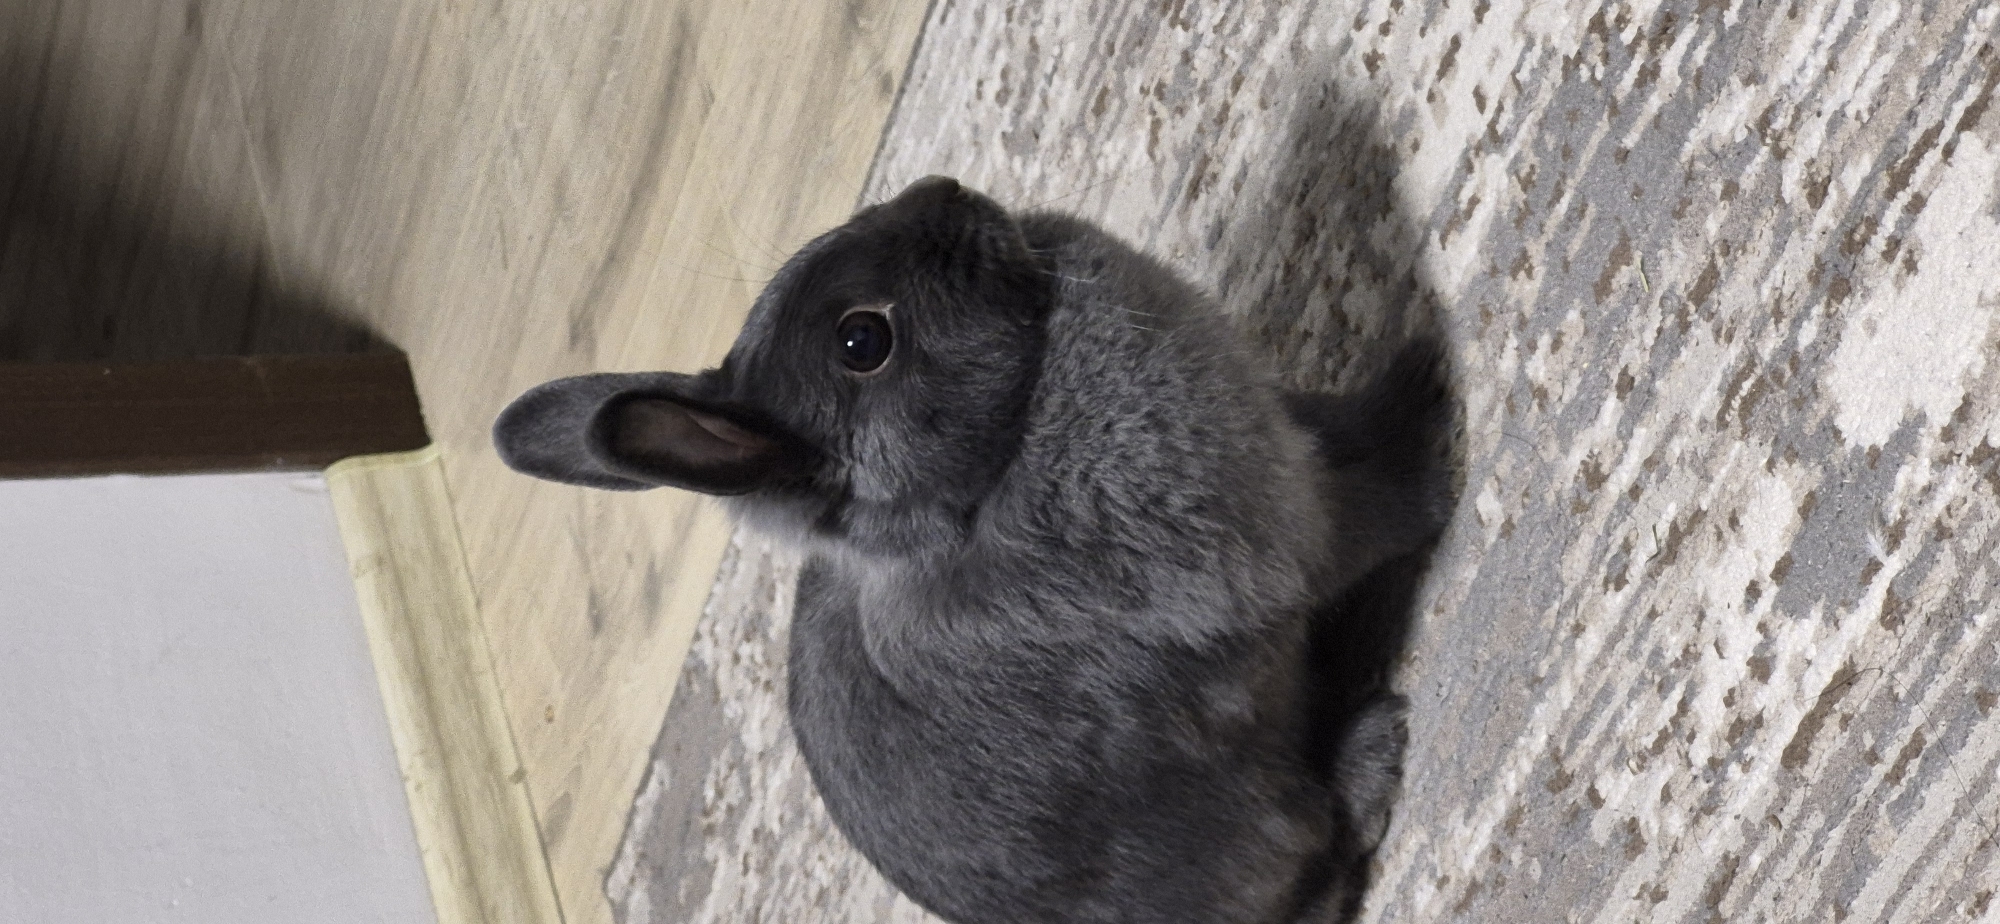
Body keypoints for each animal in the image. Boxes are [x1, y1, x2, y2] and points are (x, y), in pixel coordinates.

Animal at [493, 176, 1453, 924]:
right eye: (862, 341)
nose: (943, 190)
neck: (982, 485)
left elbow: (1333, 435)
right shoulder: (1278, 527)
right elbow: (1373, 496)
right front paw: (1428, 398)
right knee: (1330, 854)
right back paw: (1379, 746)